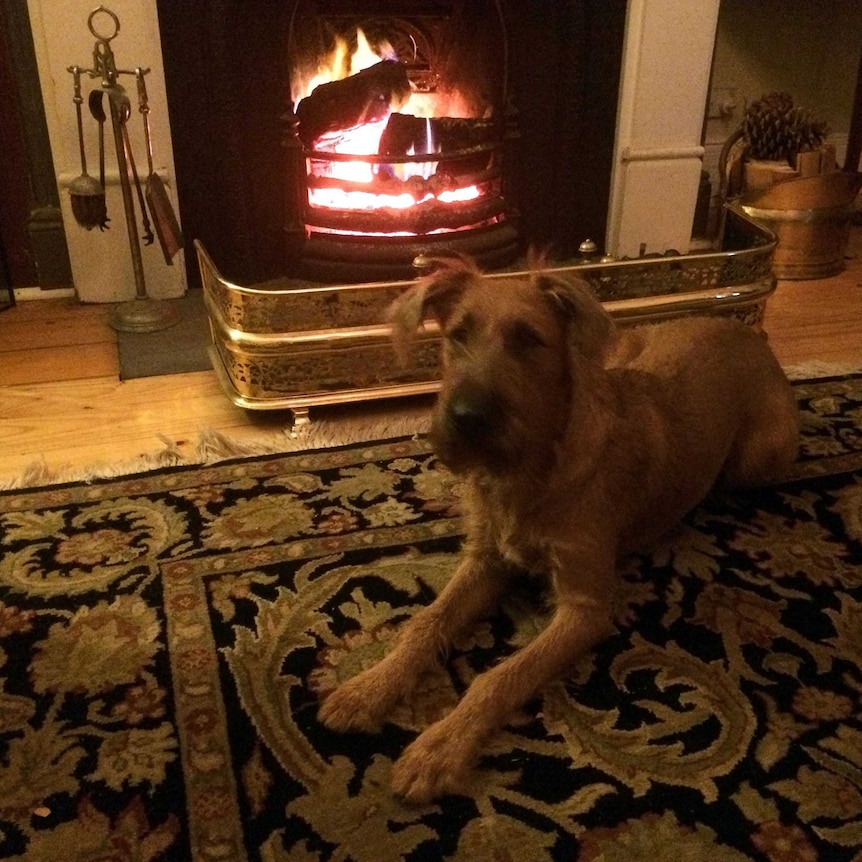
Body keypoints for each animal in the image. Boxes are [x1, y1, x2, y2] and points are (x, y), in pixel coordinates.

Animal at [318, 255, 804, 804]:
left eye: (529, 339)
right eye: (457, 334)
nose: (466, 418)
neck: (528, 471)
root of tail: (747, 333)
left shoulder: (584, 608)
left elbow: (501, 676)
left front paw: (440, 747)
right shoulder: (486, 562)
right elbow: (426, 622)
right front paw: (369, 688)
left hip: (759, 456)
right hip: (619, 347)